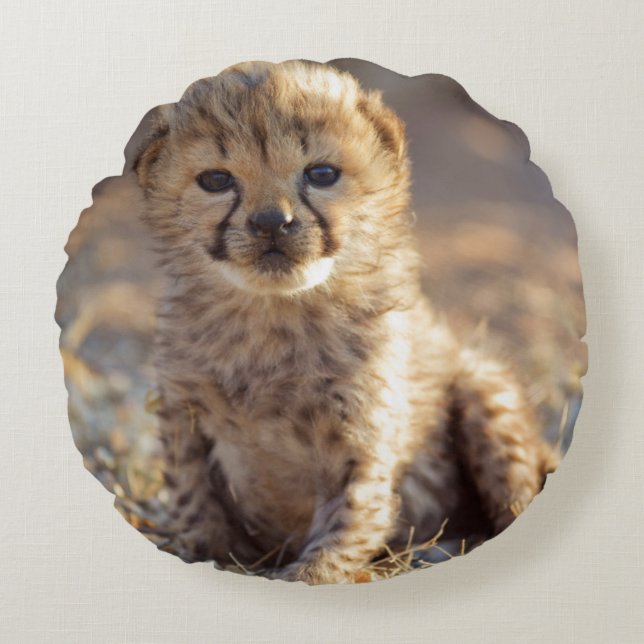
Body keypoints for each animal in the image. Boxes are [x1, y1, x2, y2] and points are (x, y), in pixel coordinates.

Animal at [132, 59, 556, 584]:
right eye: (215, 180)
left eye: (321, 174)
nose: (272, 223)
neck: (274, 318)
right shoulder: (183, 416)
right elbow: (195, 505)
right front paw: (209, 555)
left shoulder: (360, 442)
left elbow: (346, 527)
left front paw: (307, 574)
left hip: (486, 388)